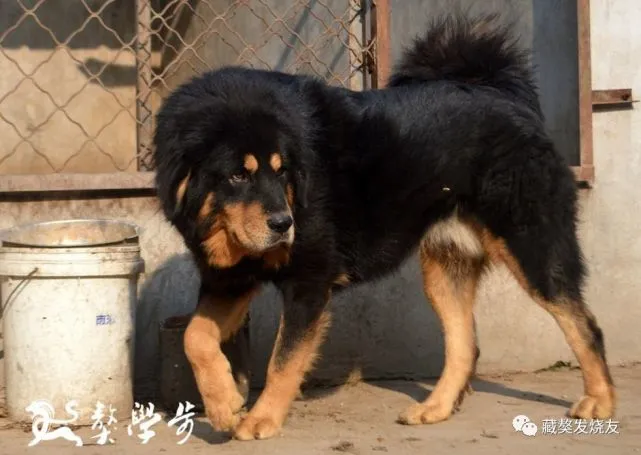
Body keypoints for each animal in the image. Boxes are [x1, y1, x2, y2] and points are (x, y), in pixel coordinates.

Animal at [152, 13, 615, 441]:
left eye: (282, 173)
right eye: (238, 175)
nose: (285, 223)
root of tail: (500, 92)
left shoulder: (309, 283)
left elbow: (283, 360)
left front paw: (260, 419)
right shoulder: (229, 281)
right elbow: (194, 337)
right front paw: (225, 404)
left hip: (532, 248)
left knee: (585, 324)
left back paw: (600, 401)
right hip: (446, 270)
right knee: (466, 345)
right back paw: (436, 408)